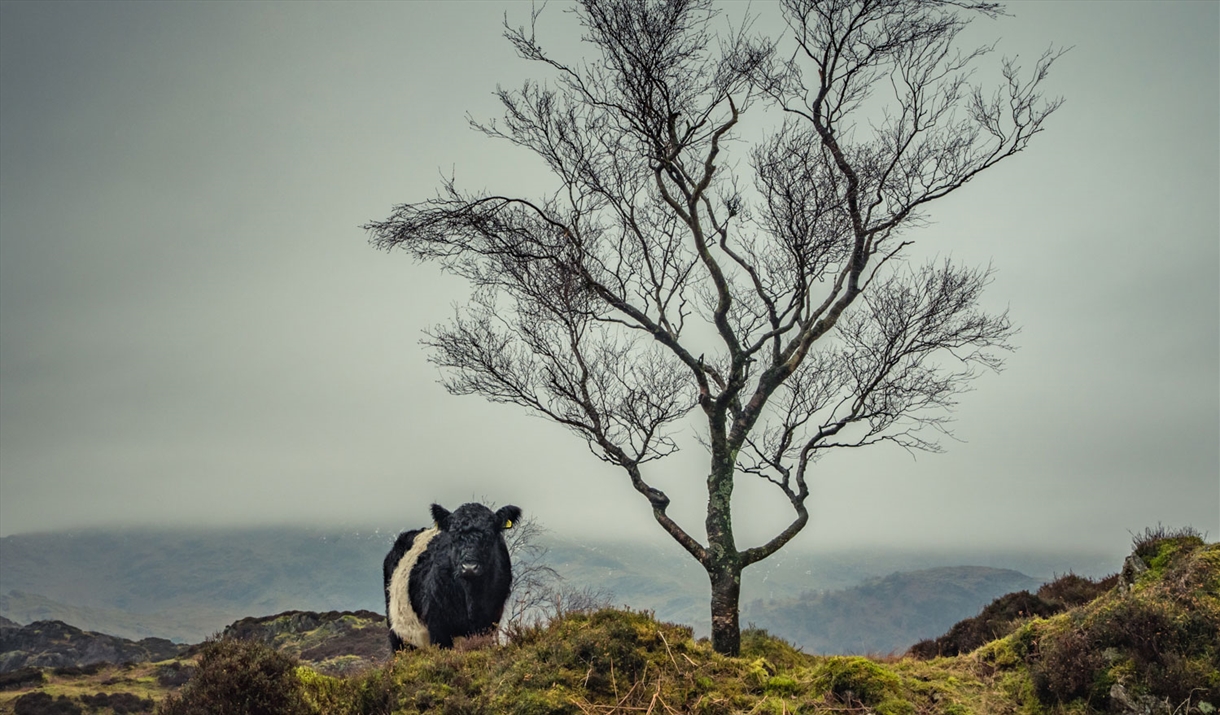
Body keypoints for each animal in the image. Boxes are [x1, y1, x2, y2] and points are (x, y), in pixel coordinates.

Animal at [383, 502, 521, 651]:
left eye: (489, 536)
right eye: (454, 536)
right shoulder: (438, 627)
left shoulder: (489, 624)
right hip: (397, 634)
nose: (469, 567)